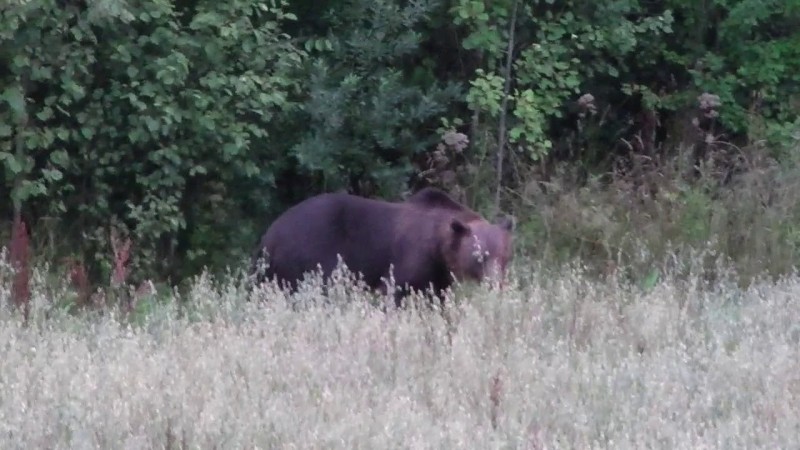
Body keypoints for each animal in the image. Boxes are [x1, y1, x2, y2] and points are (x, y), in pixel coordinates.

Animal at [247, 186, 516, 306]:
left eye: (504, 257)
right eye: (479, 256)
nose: (496, 284)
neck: (438, 247)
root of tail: (269, 236)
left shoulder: (437, 276)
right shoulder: (410, 261)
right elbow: (395, 291)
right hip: (307, 258)